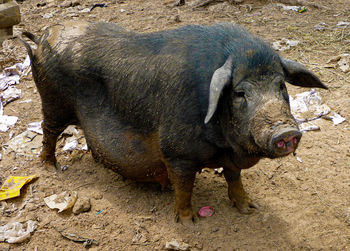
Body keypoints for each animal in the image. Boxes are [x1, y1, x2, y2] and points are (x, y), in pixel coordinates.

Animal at [21, 21, 328, 224]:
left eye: (281, 85)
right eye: (240, 93)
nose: (286, 131)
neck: (225, 144)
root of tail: (43, 36)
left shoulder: (229, 156)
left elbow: (234, 177)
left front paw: (249, 209)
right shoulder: (177, 153)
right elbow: (184, 186)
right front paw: (189, 221)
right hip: (53, 102)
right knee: (48, 132)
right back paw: (50, 167)